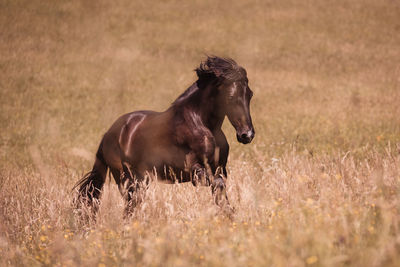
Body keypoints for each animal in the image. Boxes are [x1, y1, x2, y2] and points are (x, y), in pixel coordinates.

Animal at [73, 56, 255, 218]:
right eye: (231, 97)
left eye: (250, 94)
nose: (247, 134)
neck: (201, 123)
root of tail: (108, 134)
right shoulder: (196, 171)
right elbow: (219, 187)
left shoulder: (219, 170)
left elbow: (222, 199)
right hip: (128, 180)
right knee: (128, 210)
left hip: (142, 181)